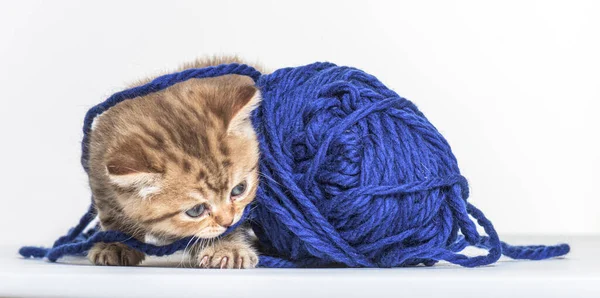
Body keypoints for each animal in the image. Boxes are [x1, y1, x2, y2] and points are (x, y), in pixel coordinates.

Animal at [85, 56, 262, 268]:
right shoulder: (99, 171)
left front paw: (227, 247)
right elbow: (110, 216)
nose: (228, 221)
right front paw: (115, 243)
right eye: (196, 210)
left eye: (238, 189)